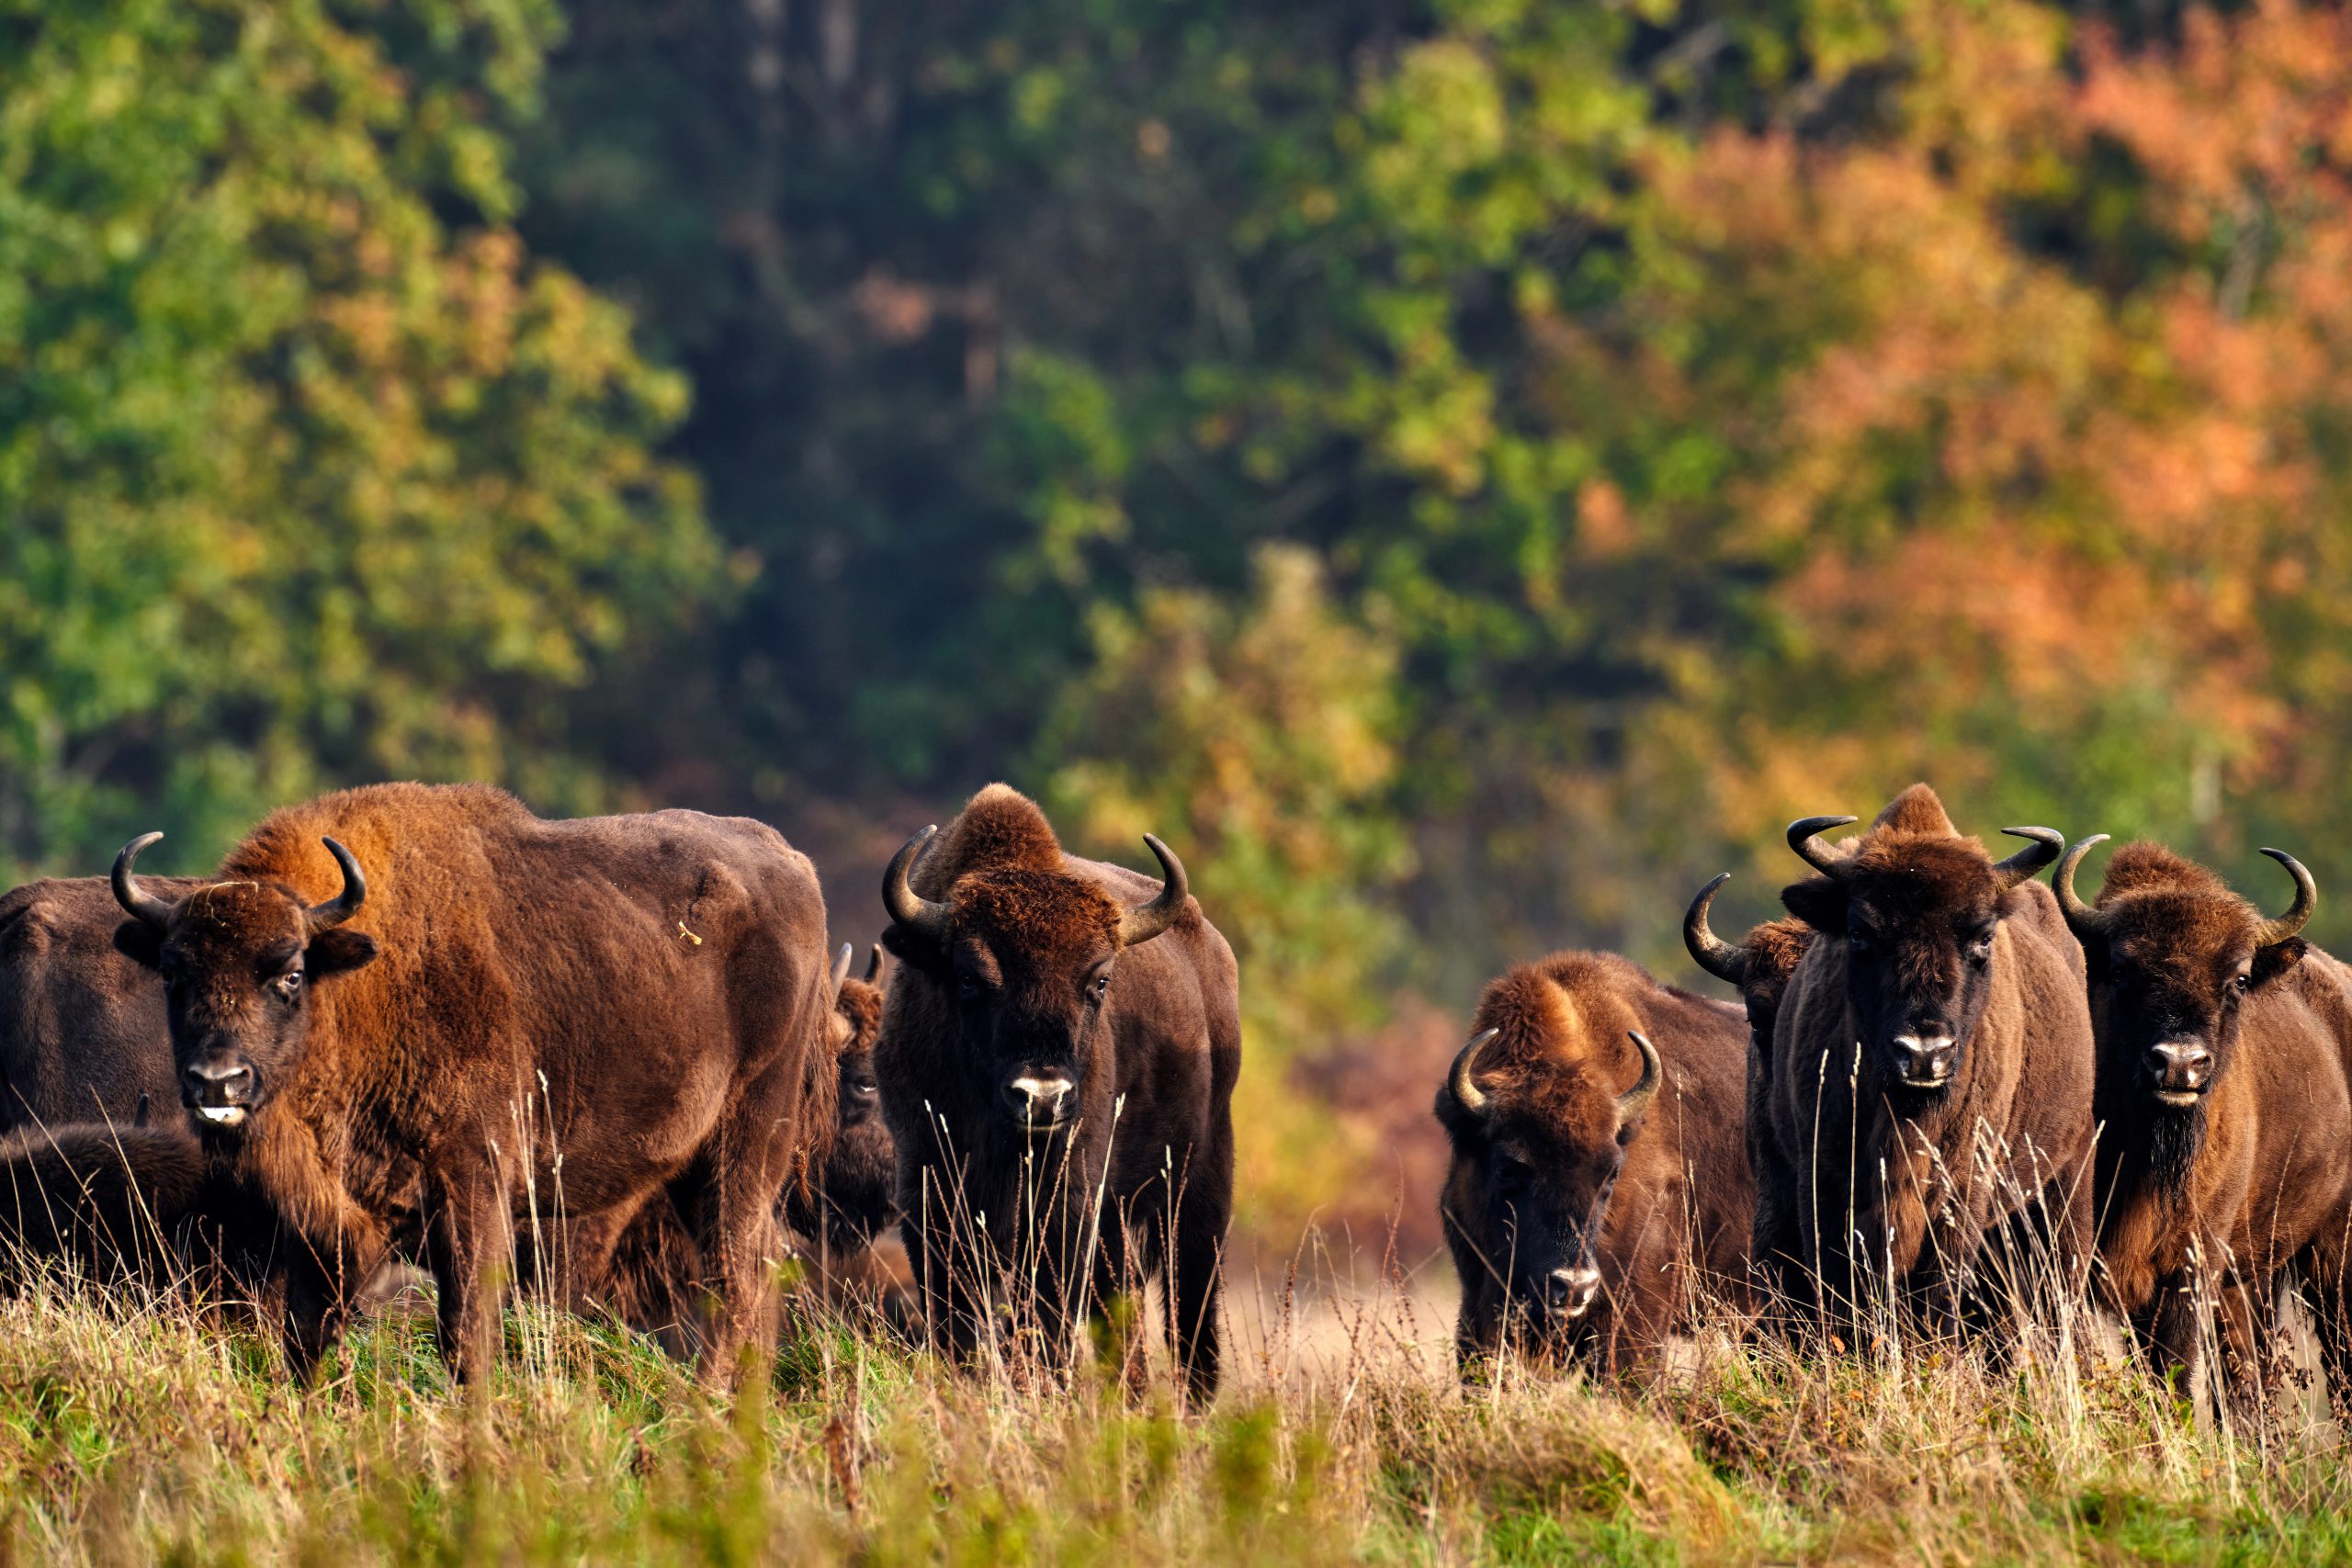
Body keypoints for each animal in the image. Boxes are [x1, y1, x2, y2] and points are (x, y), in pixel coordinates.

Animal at [108, 782, 836, 1382]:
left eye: (289, 973)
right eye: (172, 974)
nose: (218, 1082)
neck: (356, 983)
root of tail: (795, 865)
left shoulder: (472, 1188)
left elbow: (465, 1334)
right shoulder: (328, 1223)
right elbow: (306, 1337)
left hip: (745, 1147)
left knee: (738, 1279)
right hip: (694, 1168)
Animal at [875, 784, 1239, 1402]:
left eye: (1099, 980)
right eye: (971, 977)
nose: (1042, 1097)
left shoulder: (1066, 1201)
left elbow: (1047, 1315)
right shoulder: (930, 1190)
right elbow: (959, 1319)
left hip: (1200, 1181)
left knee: (1188, 1302)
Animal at [1762, 784, 2095, 1338]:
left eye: (1982, 937)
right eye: (1860, 933)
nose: (1923, 1053)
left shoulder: (1962, 1192)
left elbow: (1939, 1296)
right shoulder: (1824, 1184)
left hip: (2063, 1186)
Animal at [2055, 837, 2352, 1415]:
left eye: (2238, 978)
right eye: (2121, 969)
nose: (2178, 1063)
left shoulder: (2190, 1267)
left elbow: (2173, 1370)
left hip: (2333, 1258)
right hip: (2255, 1276)